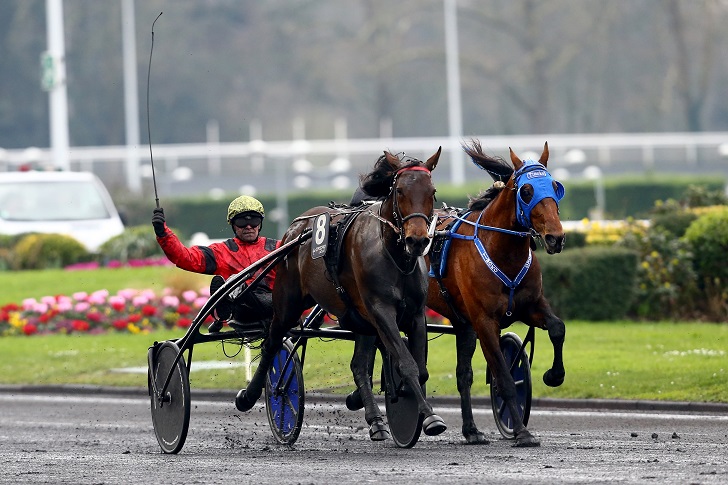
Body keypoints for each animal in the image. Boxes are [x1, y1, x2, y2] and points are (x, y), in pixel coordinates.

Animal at [235, 147, 450, 438]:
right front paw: (429, 417)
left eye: (432, 191)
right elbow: (407, 363)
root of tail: (297, 226)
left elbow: (421, 369)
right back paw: (252, 395)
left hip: (358, 317)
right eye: (400, 191)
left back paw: (375, 419)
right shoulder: (381, 310)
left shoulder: (415, 314)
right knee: (272, 343)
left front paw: (403, 396)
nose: (416, 240)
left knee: (358, 365)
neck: (393, 255)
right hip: (288, 302)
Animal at [348, 139, 568, 446]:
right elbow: (504, 377)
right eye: (527, 191)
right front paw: (522, 432)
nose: (555, 237)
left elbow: (557, 328)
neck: (501, 251)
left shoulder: (530, 306)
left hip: (461, 324)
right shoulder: (484, 320)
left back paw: (471, 430)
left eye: (556, 186)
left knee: (462, 375)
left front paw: (554, 375)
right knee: (361, 363)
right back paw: (373, 417)